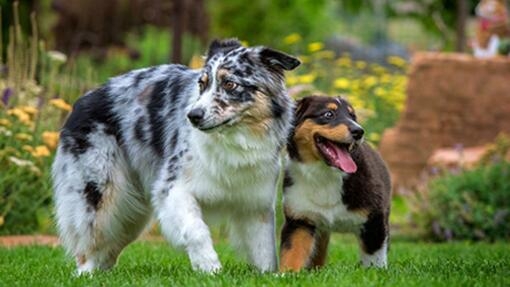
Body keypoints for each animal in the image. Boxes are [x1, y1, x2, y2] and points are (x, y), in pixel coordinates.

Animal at [52, 38, 298, 274]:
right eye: (202, 84)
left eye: (230, 84)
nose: (193, 115)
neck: (234, 140)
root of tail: (82, 99)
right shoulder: (173, 189)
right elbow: (196, 230)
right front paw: (210, 267)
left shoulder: (255, 204)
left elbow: (264, 249)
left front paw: (268, 275)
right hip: (100, 193)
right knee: (89, 243)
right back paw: (86, 273)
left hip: (130, 214)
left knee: (109, 248)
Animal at [280, 96, 392, 272]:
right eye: (328, 114)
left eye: (353, 116)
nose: (359, 131)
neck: (325, 174)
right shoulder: (300, 219)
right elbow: (291, 252)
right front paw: (286, 274)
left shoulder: (374, 221)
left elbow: (374, 258)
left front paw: (375, 273)